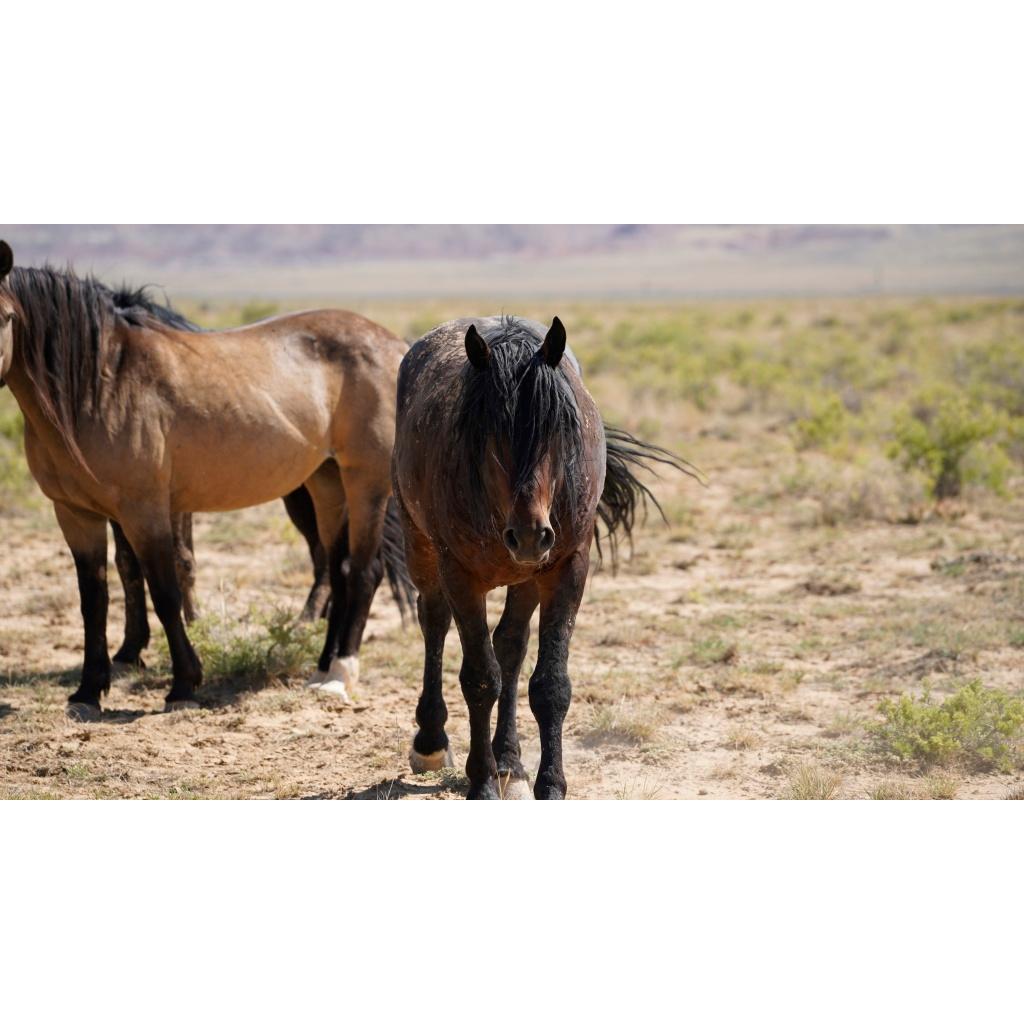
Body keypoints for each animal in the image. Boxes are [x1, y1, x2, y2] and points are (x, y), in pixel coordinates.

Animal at [0, 240, 410, 719]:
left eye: (5, 316)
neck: (102, 385)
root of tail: (397, 344)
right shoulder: (74, 514)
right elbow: (94, 601)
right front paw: (88, 691)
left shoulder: (144, 511)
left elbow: (166, 592)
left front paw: (182, 685)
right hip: (326, 485)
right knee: (338, 569)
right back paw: (321, 669)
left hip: (366, 483)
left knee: (364, 571)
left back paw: (340, 675)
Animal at [391, 314, 700, 799]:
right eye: (491, 430)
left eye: (558, 428)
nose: (530, 536)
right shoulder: (459, 574)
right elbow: (480, 678)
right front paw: (481, 784)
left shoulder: (566, 568)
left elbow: (549, 683)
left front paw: (549, 782)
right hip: (418, 545)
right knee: (434, 621)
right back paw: (432, 741)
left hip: (527, 579)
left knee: (510, 646)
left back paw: (509, 761)